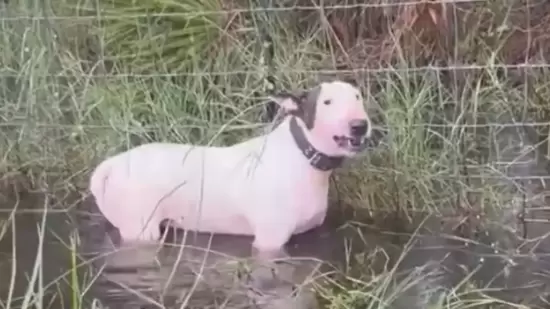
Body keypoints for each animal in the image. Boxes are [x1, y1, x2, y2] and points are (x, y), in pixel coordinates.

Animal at [90, 80, 374, 260]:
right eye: (326, 102)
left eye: (358, 97)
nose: (360, 125)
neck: (302, 156)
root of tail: (111, 164)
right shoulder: (269, 242)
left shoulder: (309, 234)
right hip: (140, 229)